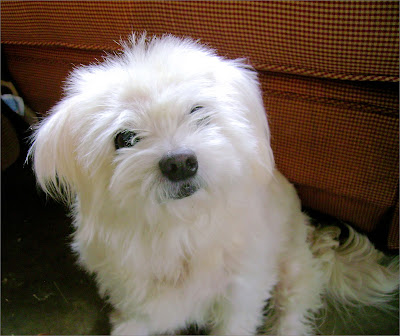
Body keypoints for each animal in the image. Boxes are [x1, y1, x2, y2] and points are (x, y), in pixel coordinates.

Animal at [29, 34, 398, 336]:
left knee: (292, 311)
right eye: (125, 138)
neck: (178, 226)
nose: (179, 163)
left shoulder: (240, 294)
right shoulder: (134, 295)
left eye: (198, 111)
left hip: (291, 269)